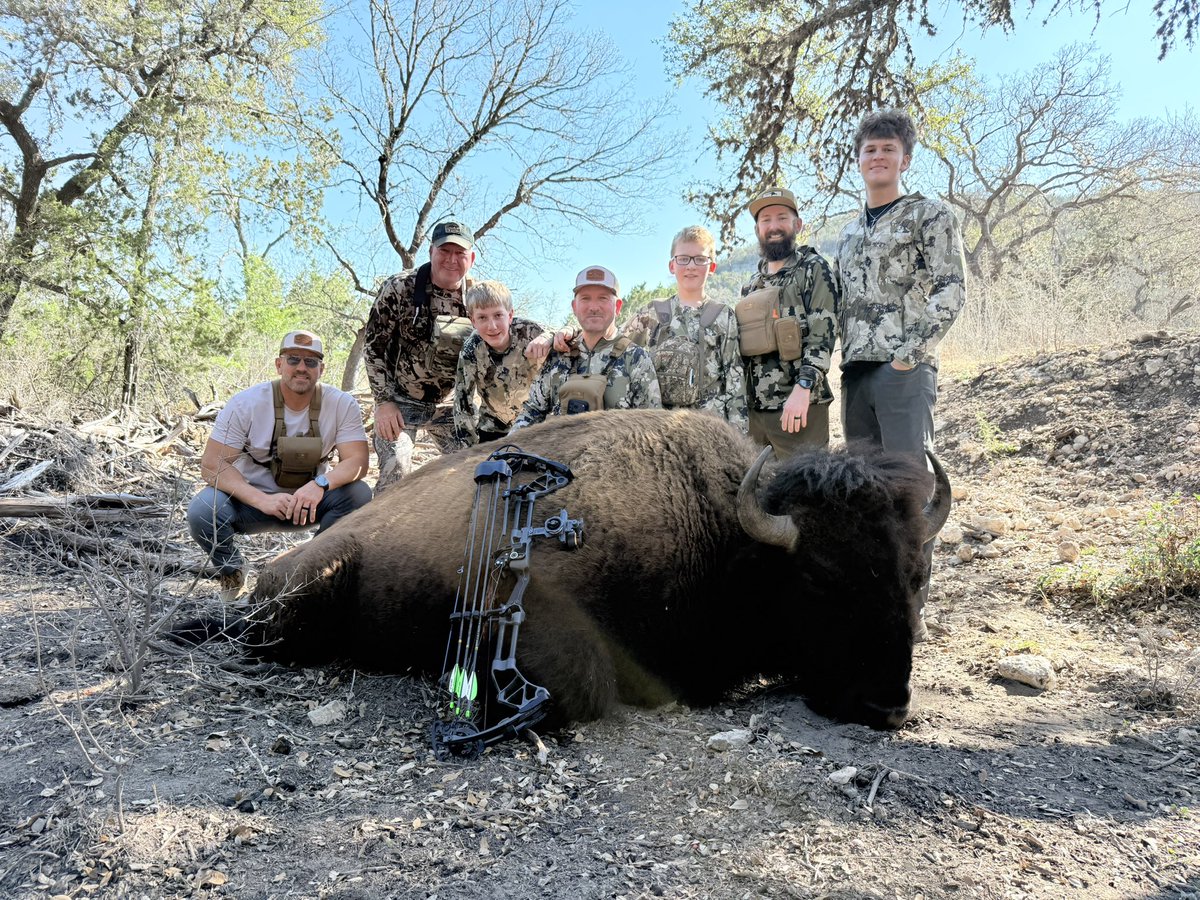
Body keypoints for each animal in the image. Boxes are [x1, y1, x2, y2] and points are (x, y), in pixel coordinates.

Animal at [240, 409, 949, 730]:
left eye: (916, 576)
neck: (720, 532)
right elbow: (585, 684)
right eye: (819, 577)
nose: (888, 704)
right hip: (310, 593)